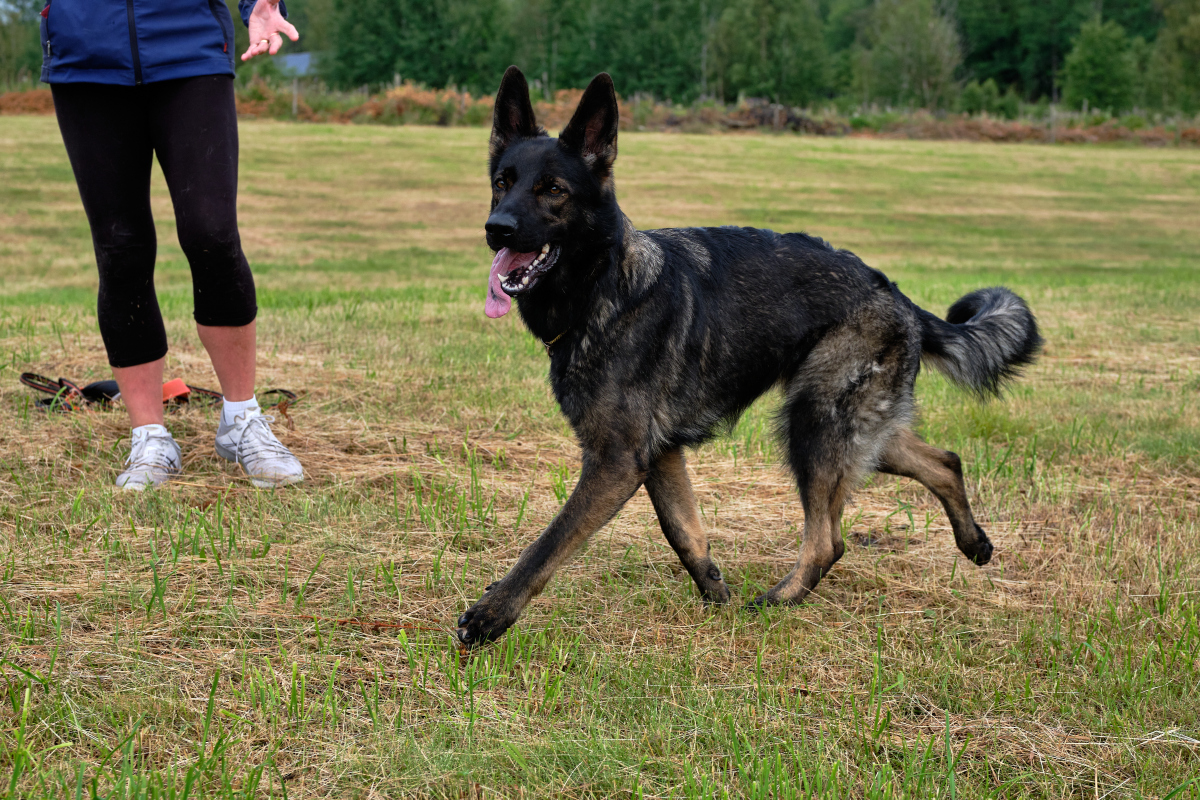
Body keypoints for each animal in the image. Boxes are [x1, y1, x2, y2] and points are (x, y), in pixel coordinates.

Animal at [453, 65, 1036, 647]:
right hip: (857, 431)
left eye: (552, 189)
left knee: (828, 541)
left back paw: (776, 602)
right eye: (502, 182)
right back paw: (974, 543)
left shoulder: (615, 462)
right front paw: (716, 594)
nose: (496, 229)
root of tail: (893, 290)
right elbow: (683, 531)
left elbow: (549, 543)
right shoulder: (659, 455)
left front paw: (491, 614)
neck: (603, 286)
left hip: (814, 425)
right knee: (944, 461)